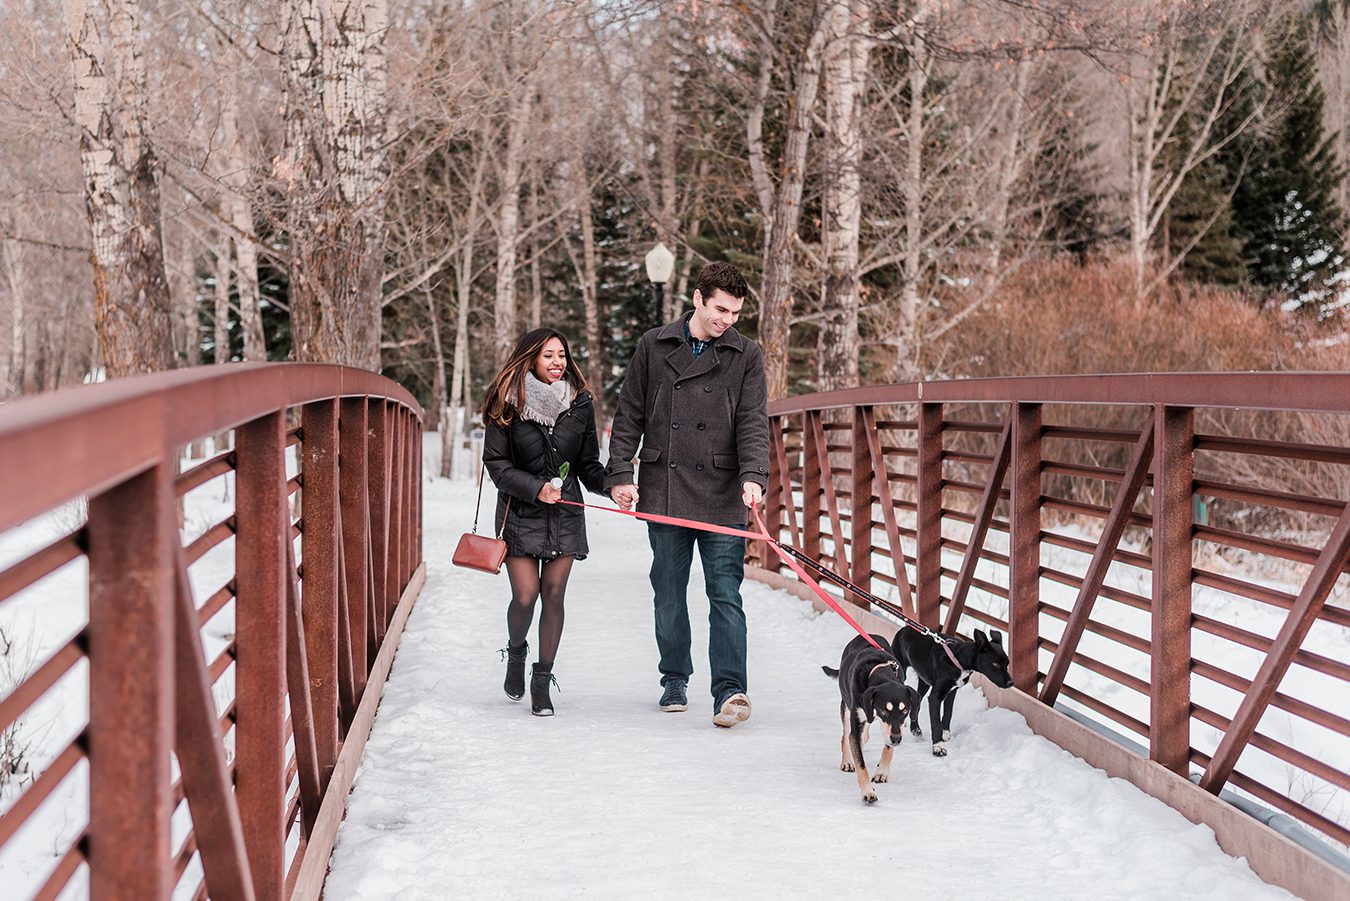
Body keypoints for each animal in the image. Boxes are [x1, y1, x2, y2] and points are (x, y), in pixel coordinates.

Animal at [896, 626, 1015, 761]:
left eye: (1007, 664)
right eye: (995, 663)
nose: (1011, 683)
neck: (958, 660)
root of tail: (905, 627)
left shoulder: (952, 691)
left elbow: (948, 712)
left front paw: (945, 732)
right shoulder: (935, 697)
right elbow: (935, 723)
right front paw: (938, 747)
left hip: (924, 681)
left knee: (918, 703)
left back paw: (915, 729)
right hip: (901, 671)